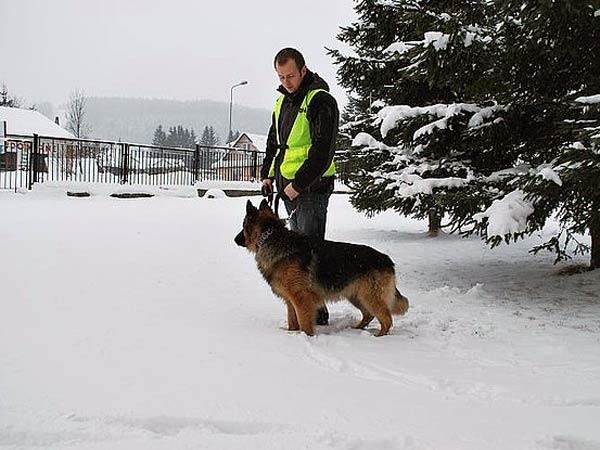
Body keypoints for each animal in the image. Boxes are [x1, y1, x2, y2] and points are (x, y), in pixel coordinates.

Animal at [233, 199, 408, 336]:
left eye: (243, 226)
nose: (235, 239)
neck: (270, 239)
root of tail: (386, 259)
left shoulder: (302, 299)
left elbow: (304, 323)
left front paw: (306, 337)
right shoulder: (290, 300)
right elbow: (292, 322)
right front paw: (292, 335)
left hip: (369, 297)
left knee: (386, 319)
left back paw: (378, 337)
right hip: (356, 295)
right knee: (369, 314)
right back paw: (357, 329)